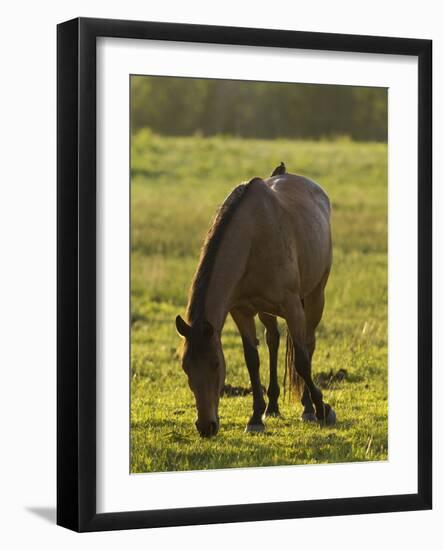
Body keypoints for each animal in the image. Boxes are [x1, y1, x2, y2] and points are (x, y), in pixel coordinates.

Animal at [175, 162, 334, 438]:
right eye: (186, 367)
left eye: (215, 364)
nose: (206, 426)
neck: (253, 238)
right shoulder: (242, 311)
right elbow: (252, 360)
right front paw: (256, 416)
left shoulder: (293, 306)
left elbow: (302, 361)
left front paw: (323, 408)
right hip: (266, 311)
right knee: (273, 340)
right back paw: (273, 406)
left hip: (315, 297)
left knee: (308, 343)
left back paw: (307, 407)